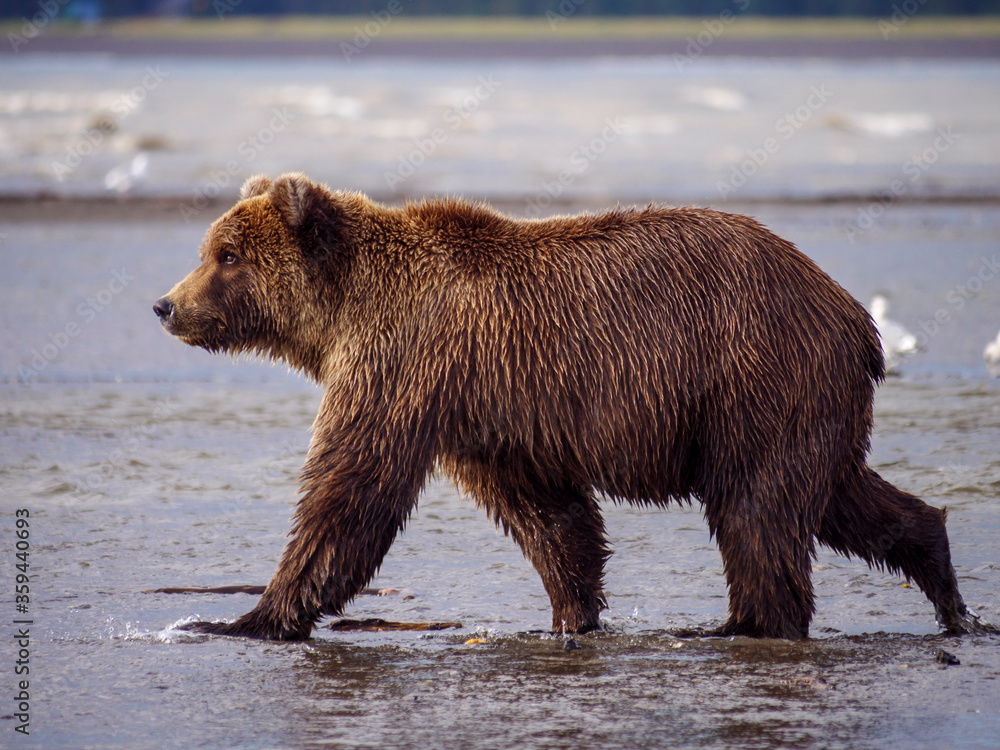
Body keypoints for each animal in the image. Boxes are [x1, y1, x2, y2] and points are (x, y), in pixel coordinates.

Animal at [153, 172, 989, 641]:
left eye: (226, 255)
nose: (166, 305)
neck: (341, 313)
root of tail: (855, 315)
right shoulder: (485, 410)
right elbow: (549, 515)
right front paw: (571, 612)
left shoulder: (403, 368)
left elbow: (348, 492)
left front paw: (241, 616)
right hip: (798, 399)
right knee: (839, 496)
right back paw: (944, 586)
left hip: (755, 375)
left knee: (759, 511)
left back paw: (747, 623)